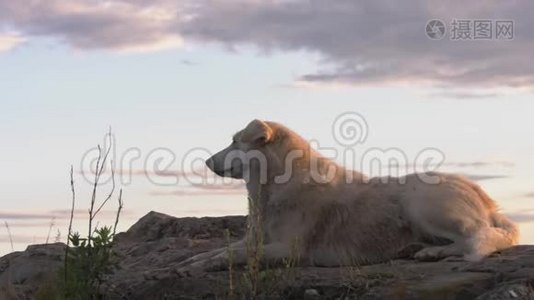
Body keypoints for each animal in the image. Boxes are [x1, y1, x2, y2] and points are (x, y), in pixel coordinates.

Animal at [178, 119, 520, 272]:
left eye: (236, 142)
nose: (205, 162)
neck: (273, 187)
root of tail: (484, 197)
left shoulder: (289, 249)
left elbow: (235, 255)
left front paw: (201, 264)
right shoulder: (256, 237)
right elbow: (221, 250)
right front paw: (194, 259)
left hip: (420, 202)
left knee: (479, 235)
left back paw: (436, 252)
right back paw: (425, 250)